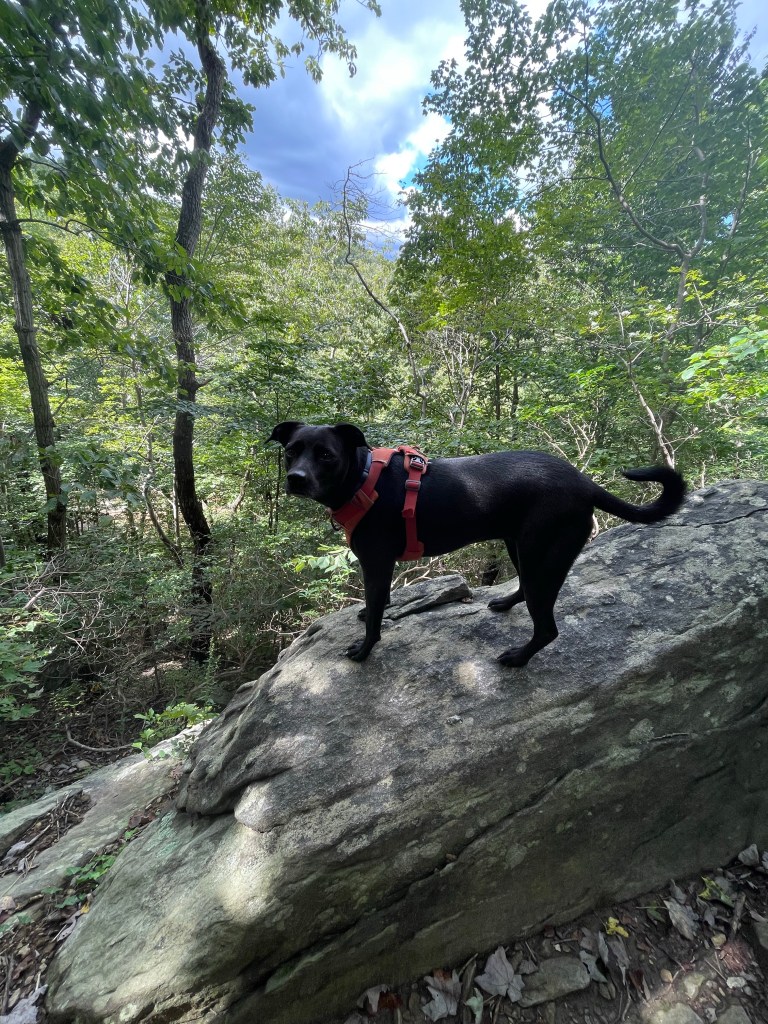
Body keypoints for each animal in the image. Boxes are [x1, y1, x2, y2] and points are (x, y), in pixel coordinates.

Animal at [269, 421, 686, 666]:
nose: (296, 478)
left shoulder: (376, 562)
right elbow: (378, 603)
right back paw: (504, 603)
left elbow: (374, 618)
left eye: (325, 455)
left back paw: (517, 658)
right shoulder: (381, 568)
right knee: (525, 591)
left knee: (547, 628)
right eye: (291, 452)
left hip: (540, 554)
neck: (362, 478)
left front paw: (364, 649)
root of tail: (584, 483)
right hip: (522, 548)